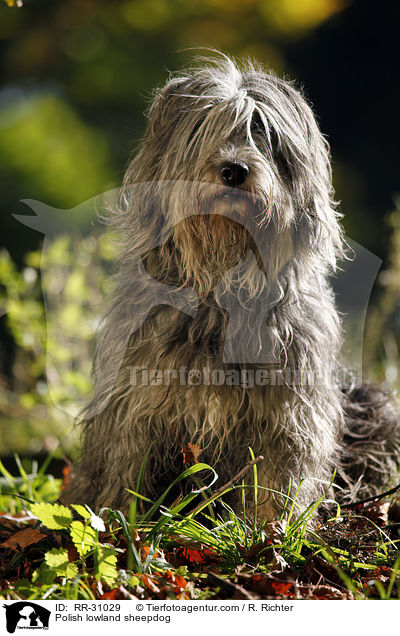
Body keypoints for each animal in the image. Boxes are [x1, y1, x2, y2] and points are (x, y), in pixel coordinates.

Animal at [64, 54, 400, 520]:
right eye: (206, 128)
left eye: (264, 133)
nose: (234, 170)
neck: (222, 287)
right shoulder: (135, 405)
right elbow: (128, 467)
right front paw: (122, 519)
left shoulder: (289, 413)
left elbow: (277, 480)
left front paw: (272, 527)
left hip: (373, 406)